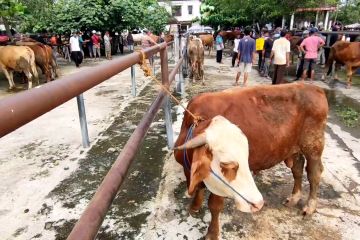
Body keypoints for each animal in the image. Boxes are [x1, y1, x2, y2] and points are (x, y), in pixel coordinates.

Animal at [174, 83, 330, 240]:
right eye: (227, 164)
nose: (258, 204)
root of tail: (314, 87)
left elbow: (214, 205)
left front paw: (212, 233)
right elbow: (199, 188)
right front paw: (195, 206)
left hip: (313, 147)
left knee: (314, 174)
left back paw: (310, 206)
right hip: (294, 149)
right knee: (297, 169)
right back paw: (294, 198)